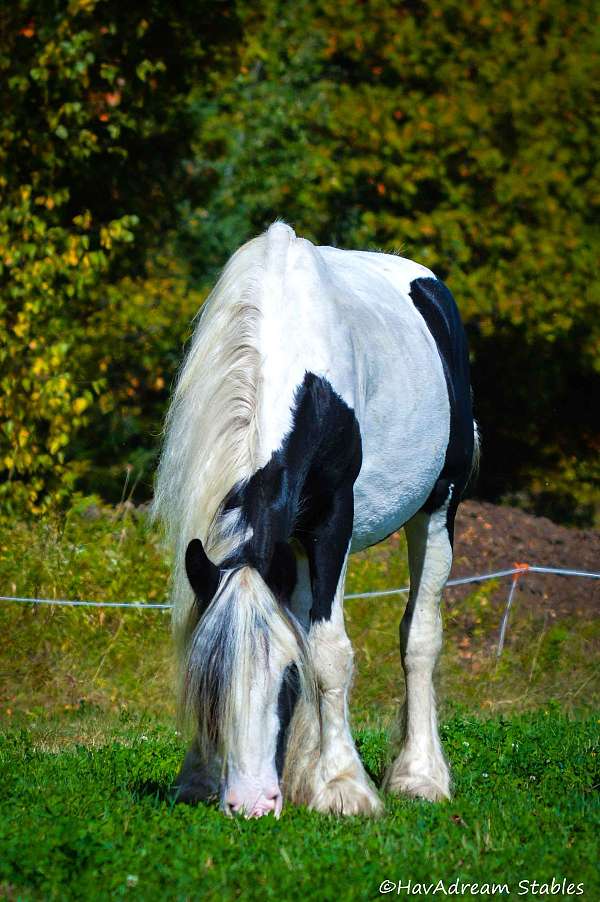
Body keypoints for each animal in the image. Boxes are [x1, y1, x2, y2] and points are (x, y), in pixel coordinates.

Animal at [154, 221, 477, 818]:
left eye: (286, 676)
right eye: (213, 681)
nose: (251, 804)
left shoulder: (331, 523)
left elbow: (328, 652)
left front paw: (344, 785)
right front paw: (200, 776)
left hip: (437, 508)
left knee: (419, 637)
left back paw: (419, 776)